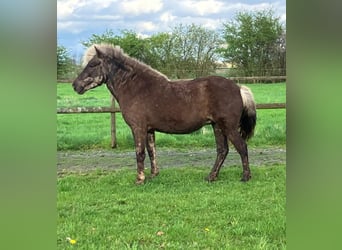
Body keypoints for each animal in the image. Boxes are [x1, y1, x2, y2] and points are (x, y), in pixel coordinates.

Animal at [73, 43, 258, 184]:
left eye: (93, 64)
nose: (75, 85)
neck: (136, 88)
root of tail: (238, 88)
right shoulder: (149, 130)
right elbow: (151, 152)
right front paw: (153, 175)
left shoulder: (138, 128)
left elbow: (139, 153)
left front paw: (140, 179)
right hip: (217, 126)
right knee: (222, 150)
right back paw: (211, 177)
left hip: (228, 127)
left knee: (241, 147)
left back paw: (245, 177)